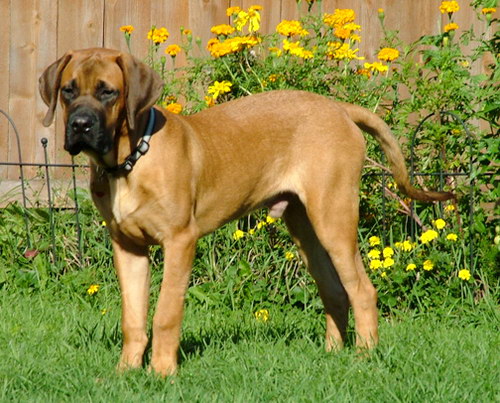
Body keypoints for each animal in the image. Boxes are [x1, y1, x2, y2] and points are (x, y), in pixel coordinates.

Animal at [39, 49, 454, 378]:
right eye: (68, 90)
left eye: (108, 92)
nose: (80, 126)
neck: (129, 161)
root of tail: (338, 108)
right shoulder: (127, 247)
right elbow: (133, 318)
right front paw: (125, 372)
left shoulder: (180, 242)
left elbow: (165, 313)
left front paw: (162, 373)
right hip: (305, 227)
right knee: (334, 290)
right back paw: (331, 354)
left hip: (334, 218)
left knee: (362, 290)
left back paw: (364, 357)